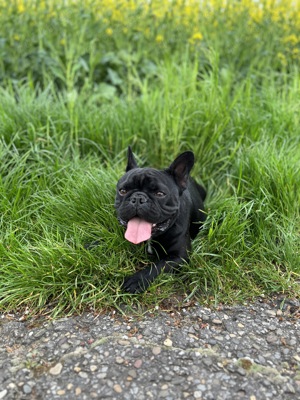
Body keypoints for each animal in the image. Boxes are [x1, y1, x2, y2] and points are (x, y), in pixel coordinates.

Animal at [115, 147, 206, 294]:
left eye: (160, 194)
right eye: (122, 191)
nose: (138, 198)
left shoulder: (179, 256)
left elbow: (157, 267)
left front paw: (136, 280)